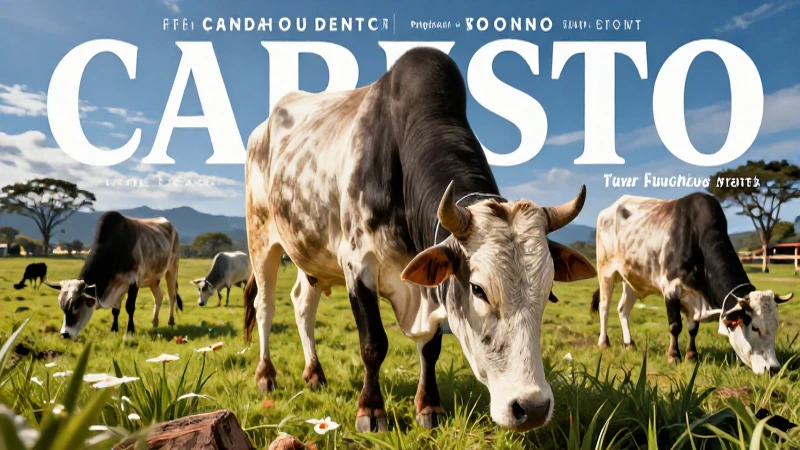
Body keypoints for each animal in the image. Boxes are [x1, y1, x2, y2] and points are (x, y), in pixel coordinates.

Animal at [45, 211, 183, 338]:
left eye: (76, 305)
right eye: (62, 306)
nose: (64, 334)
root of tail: (172, 228)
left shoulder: (134, 280)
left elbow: (130, 307)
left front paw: (130, 331)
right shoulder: (118, 284)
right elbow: (115, 310)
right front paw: (114, 329)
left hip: (172, 269)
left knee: (172, 296)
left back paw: (170, 322)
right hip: (153, 279)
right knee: (159, 296)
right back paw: (154, 323)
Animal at [242, 47, 596, 433]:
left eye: (548, 291)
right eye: (478, 290)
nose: (531, 407)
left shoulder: (429, 286)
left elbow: (430, 348)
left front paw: (429, 406)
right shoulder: (357, 263)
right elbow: (373, 344)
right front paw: (371, 410)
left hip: (313, 256)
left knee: (302, 304)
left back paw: (314, 374)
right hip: (261, 238)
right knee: (265, 305)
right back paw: (266, 375)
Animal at [591, 193, 793, 374]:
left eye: (776, 327)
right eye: (755, 327)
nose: (774, 369)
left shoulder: (694, 296)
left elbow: (692, 328)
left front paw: (691, 356)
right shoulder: (671, 287)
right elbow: (675, 326)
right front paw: (673, 356)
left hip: (631, 279)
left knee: (623, 309)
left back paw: (629, 344)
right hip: (605, 271)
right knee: (604, 307)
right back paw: (604, 342)